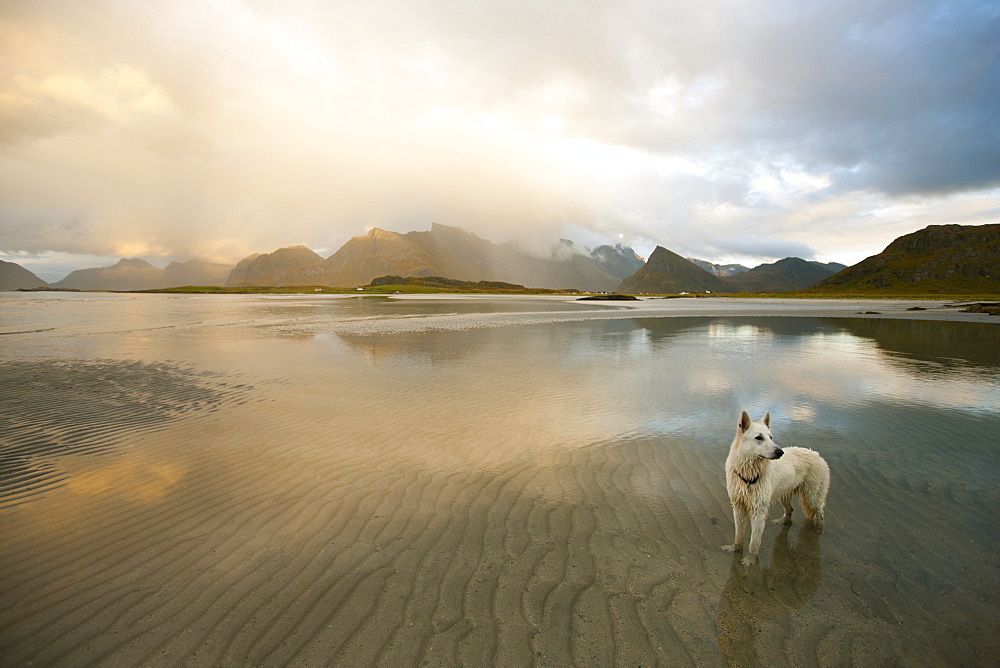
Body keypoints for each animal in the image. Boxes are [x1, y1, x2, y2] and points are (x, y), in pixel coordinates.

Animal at [724, 410, 832, 560]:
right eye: (759, 437)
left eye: (771, 437)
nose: (780, 452)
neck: (749, 474)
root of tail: (817, 455)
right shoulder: (738, 506)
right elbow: (739, 535)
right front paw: (735, 549)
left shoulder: (759, 511)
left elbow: (754, 542)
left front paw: (750, 560)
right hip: (784, 494)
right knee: (790, 509)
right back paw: (782, 521)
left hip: (812, 496)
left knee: (820, 512)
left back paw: (818, 529)